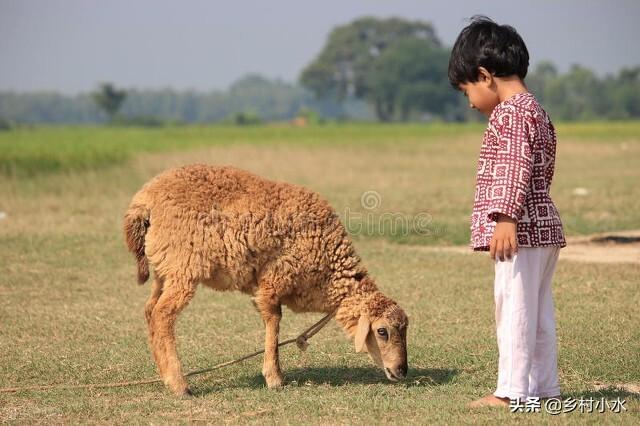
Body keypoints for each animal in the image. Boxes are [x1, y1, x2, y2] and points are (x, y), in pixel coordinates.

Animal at [122, 164, 408, 396]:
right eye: (382, 331)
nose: (402, 370)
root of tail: (144, 201)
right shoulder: (274, 279)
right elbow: (274, 322)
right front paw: (274, 378)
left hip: (164, 268)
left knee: (150, 311)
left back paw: (164, 375)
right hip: (184, 266)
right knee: (163, 314)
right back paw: (179, 384)